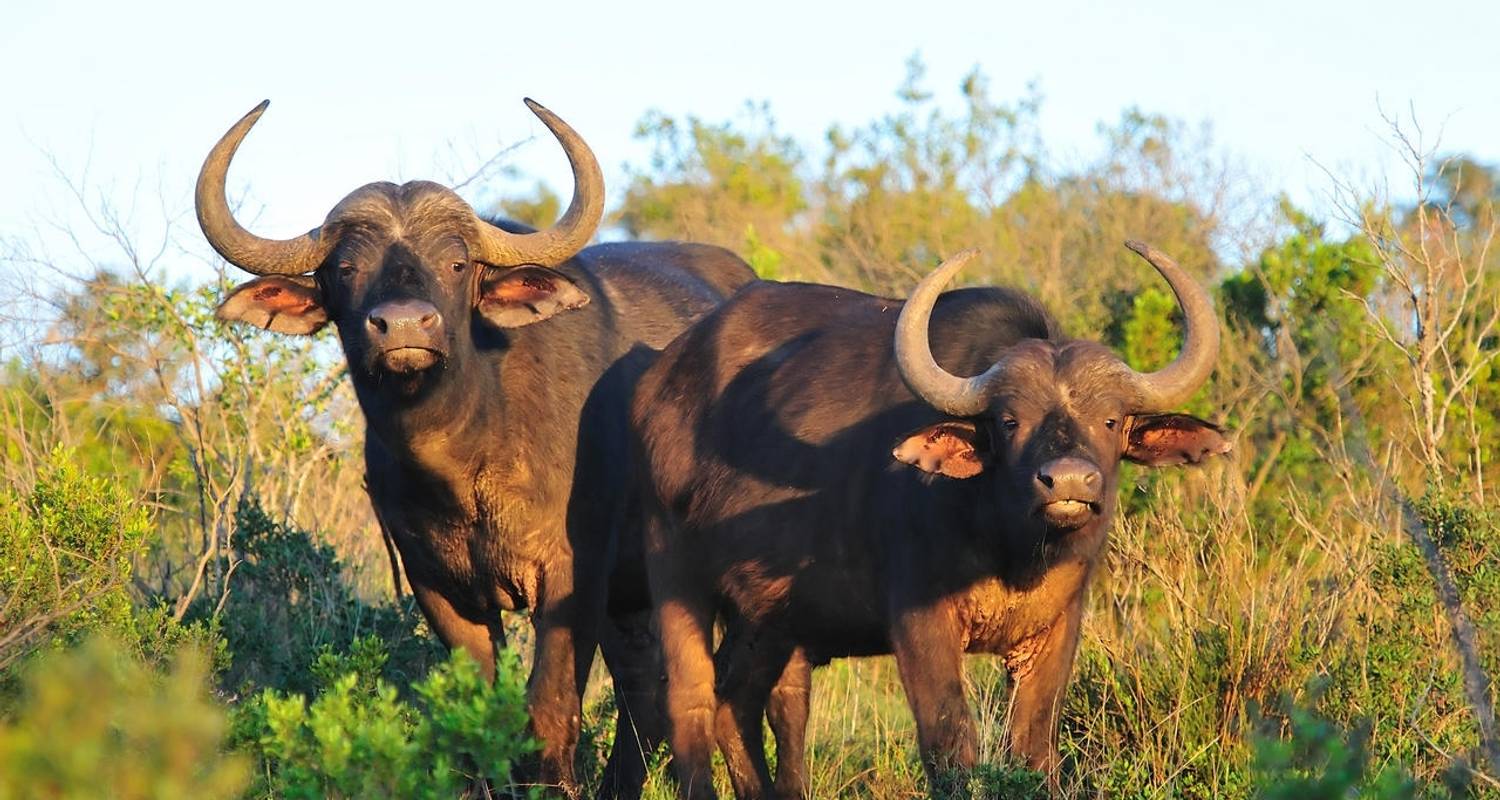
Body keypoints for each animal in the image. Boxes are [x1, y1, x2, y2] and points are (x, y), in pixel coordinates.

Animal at [196, 99, 762, 798]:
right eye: (345, 268)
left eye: (457, 264)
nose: (403, 326)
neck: (464, 462)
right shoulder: (437, 587)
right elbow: (477, 715)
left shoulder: (571, 576)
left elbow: (548, 710)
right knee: (644, 690)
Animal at [633, 244, 1230, 798]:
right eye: (1009, 421)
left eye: (1109, 420)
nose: (1067, 482)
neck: (1008, 548)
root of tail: (657, 388)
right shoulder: (920, 621)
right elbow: (950, 742)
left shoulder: (1057, 625)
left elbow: (1033, 745)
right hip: (675, 571)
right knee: (690, 699)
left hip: (767, 614)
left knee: (739, 701)